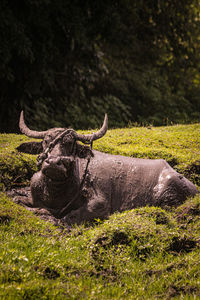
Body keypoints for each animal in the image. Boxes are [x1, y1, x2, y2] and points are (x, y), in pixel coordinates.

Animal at [18, 111, 198, 224]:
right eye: (45, 142)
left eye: (70, 144)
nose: (54, 163)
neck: (55, 192)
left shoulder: (100, 204)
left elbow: (70, 216)